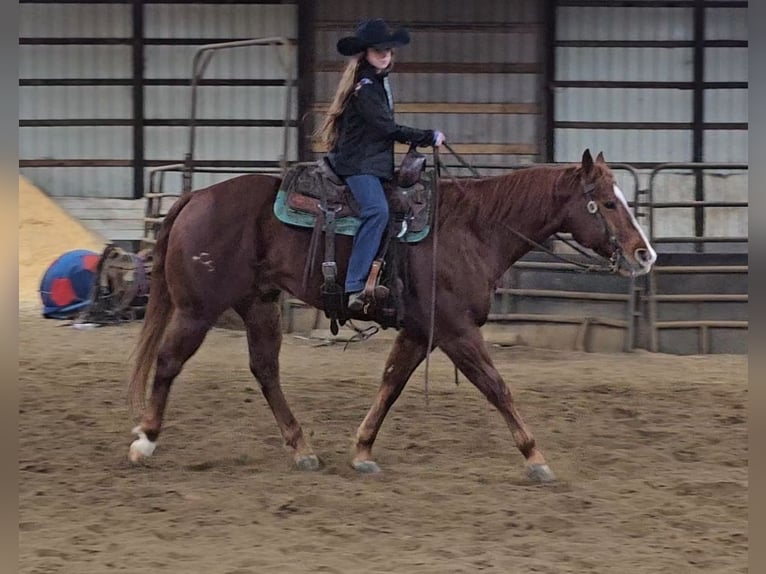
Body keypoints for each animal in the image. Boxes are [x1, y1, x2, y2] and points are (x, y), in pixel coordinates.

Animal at [129, 151, 656, 484]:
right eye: (609, 202)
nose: (645, 254)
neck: (473, 229)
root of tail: (196, 197)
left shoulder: (422, 331)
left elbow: (391, 383)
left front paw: (362, 450)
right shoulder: (456, 331)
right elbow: (496, 387)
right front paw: (536, 457)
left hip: (258, 305)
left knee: (265, 370)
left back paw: (302, 448)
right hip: (198, 309)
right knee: (169, 362)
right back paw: (145, 440)